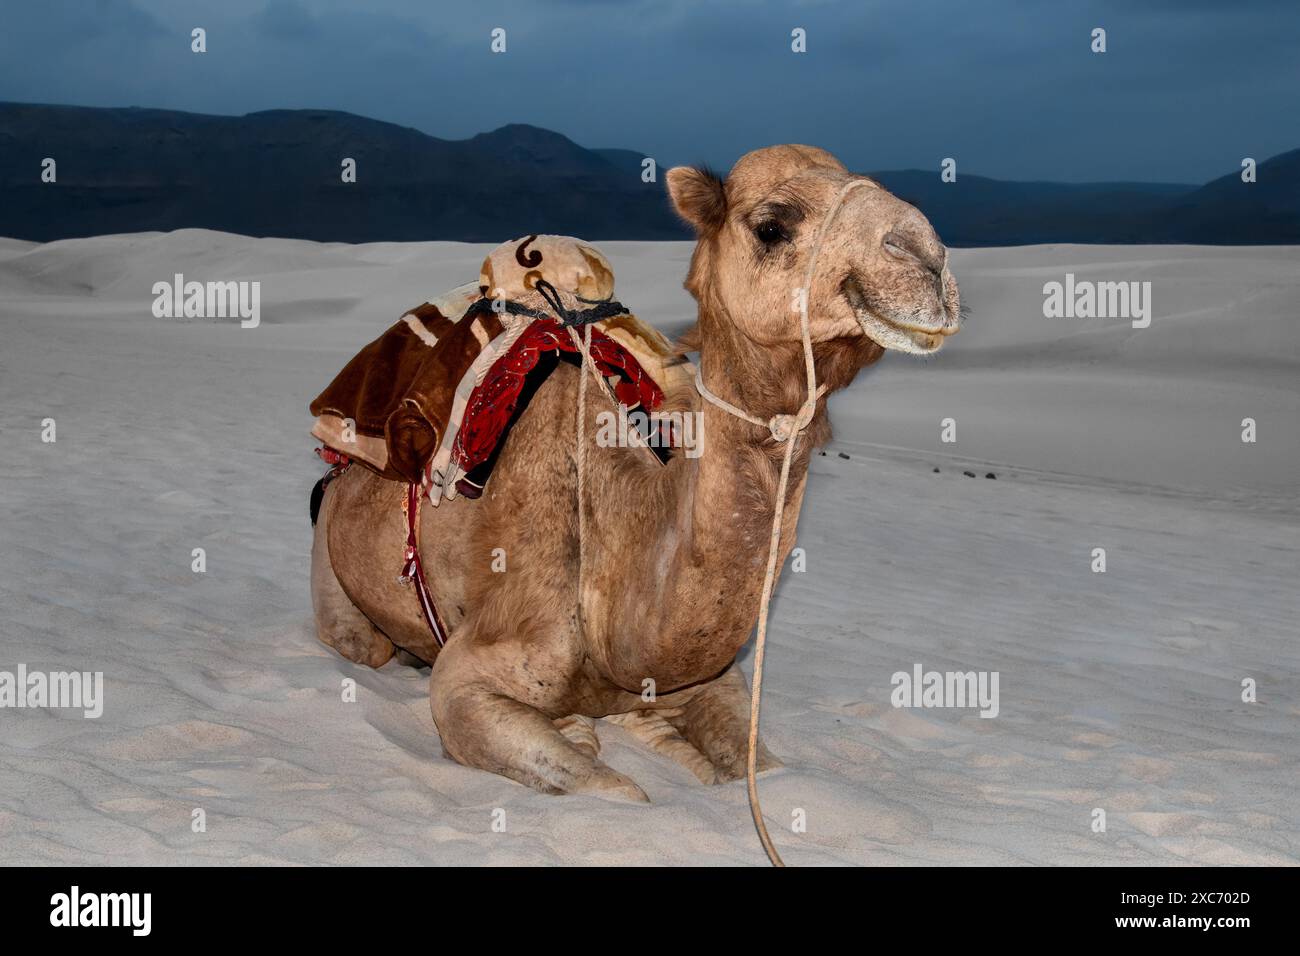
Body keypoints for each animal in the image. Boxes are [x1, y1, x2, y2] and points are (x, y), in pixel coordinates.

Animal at [309, 143, 961, 801]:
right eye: (772, 226)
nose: (929, 259)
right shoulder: (469, 678)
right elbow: (620, 793)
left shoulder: (711, 680)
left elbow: (768, 772)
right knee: (364, 643)